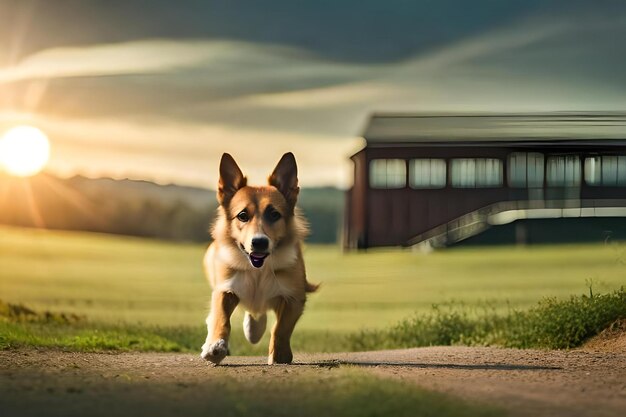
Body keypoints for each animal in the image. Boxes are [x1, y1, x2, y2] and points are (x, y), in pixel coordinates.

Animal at [200, 152, 316, 364]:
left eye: (274, 214)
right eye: (242, 215)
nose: (259, 242)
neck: (258, 271)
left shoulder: (294, 297)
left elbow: (281, 328)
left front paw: (279, 355)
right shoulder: (225, 288)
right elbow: (221, 317)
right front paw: (215, 347)